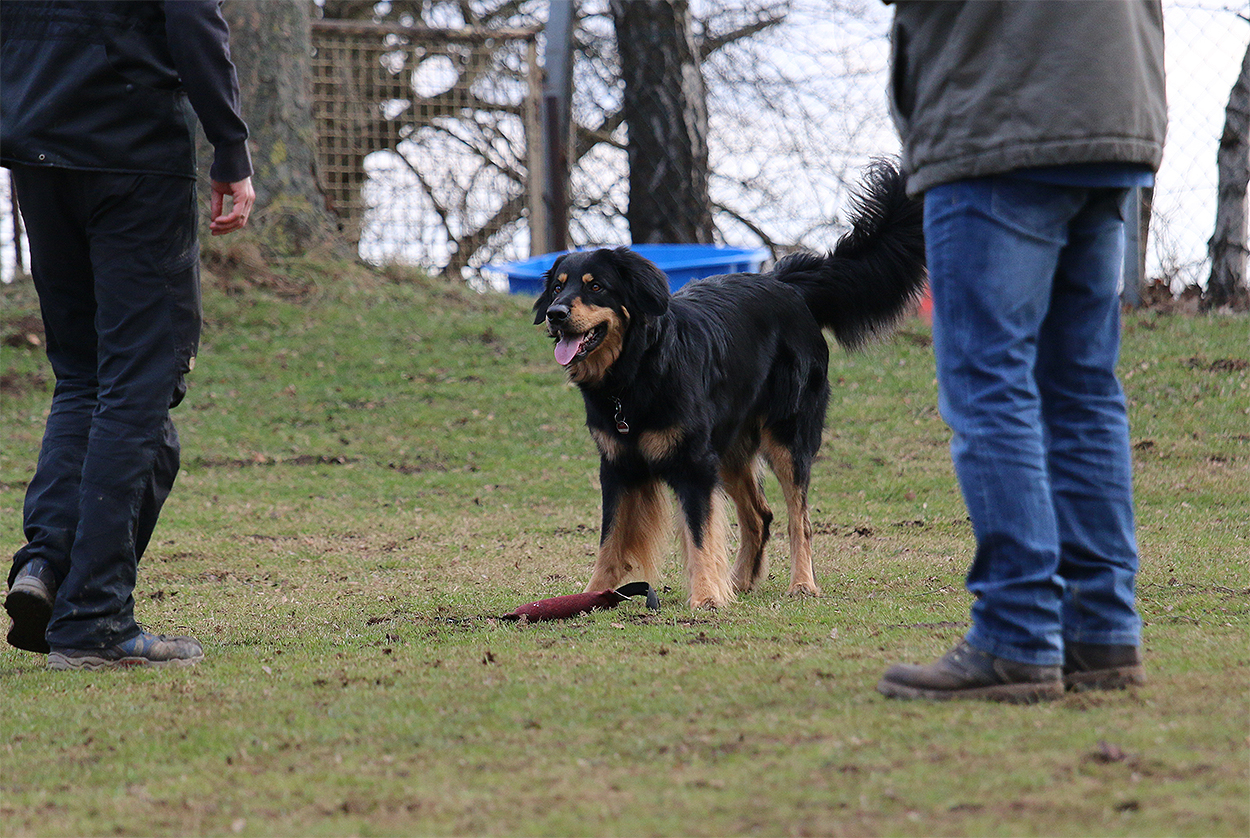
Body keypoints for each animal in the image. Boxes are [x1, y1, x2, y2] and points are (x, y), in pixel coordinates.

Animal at [533, 161, 927, 608]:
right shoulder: (617, 466)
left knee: (799, 519)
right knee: (760, 515)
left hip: (786, 437)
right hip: (731, 447)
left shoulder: (694, 463)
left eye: (595, 286)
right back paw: (739, 581)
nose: (555, 313)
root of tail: (785, 283)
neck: (636, 373)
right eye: (558, 286)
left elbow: (700, 535)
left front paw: (706, 596)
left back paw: (801, 584)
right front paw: (591, 595)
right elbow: (610, 541)